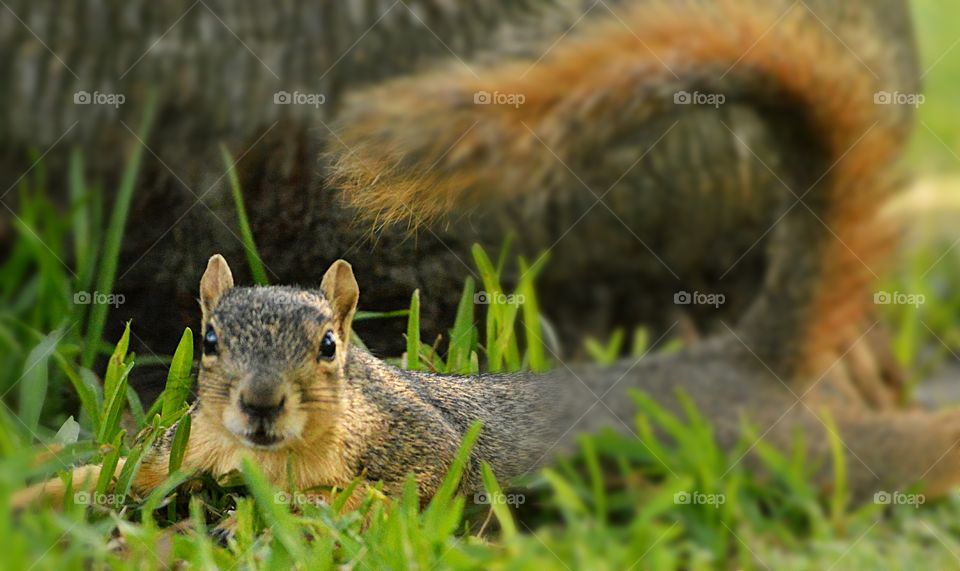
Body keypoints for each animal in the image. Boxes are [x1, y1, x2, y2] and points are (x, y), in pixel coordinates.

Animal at [14, 0, 960, 509]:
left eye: (331, 346)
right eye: (207, 339)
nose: (259, 405)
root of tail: (739, 355)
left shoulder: (425, 449)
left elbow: (431, 490)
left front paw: (327, 503)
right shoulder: (190, 448)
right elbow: (117, 467)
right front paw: (29, 496)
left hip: (802, 450)